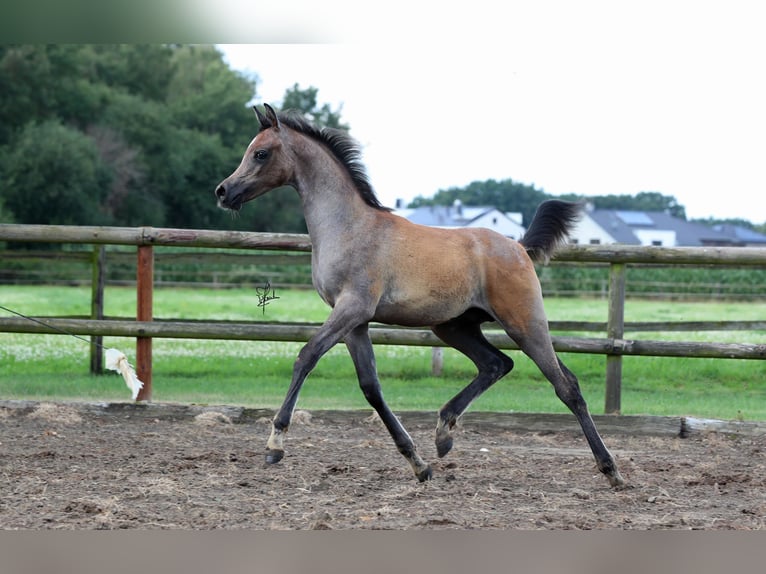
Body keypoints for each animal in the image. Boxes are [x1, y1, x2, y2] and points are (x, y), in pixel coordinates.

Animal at [214, 106, 624, 488]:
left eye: (261, 153)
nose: (223, 191)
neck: (349, 227)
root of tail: (519, 247)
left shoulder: (352, 308)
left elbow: (306, 356)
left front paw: (275, 444)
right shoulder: (355, 322)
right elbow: (371, 387)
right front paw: (419, 464)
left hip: (524, 322)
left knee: (566, 385)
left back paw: (611, 469)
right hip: (454, 327)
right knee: (497, 364)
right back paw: (443, 434)